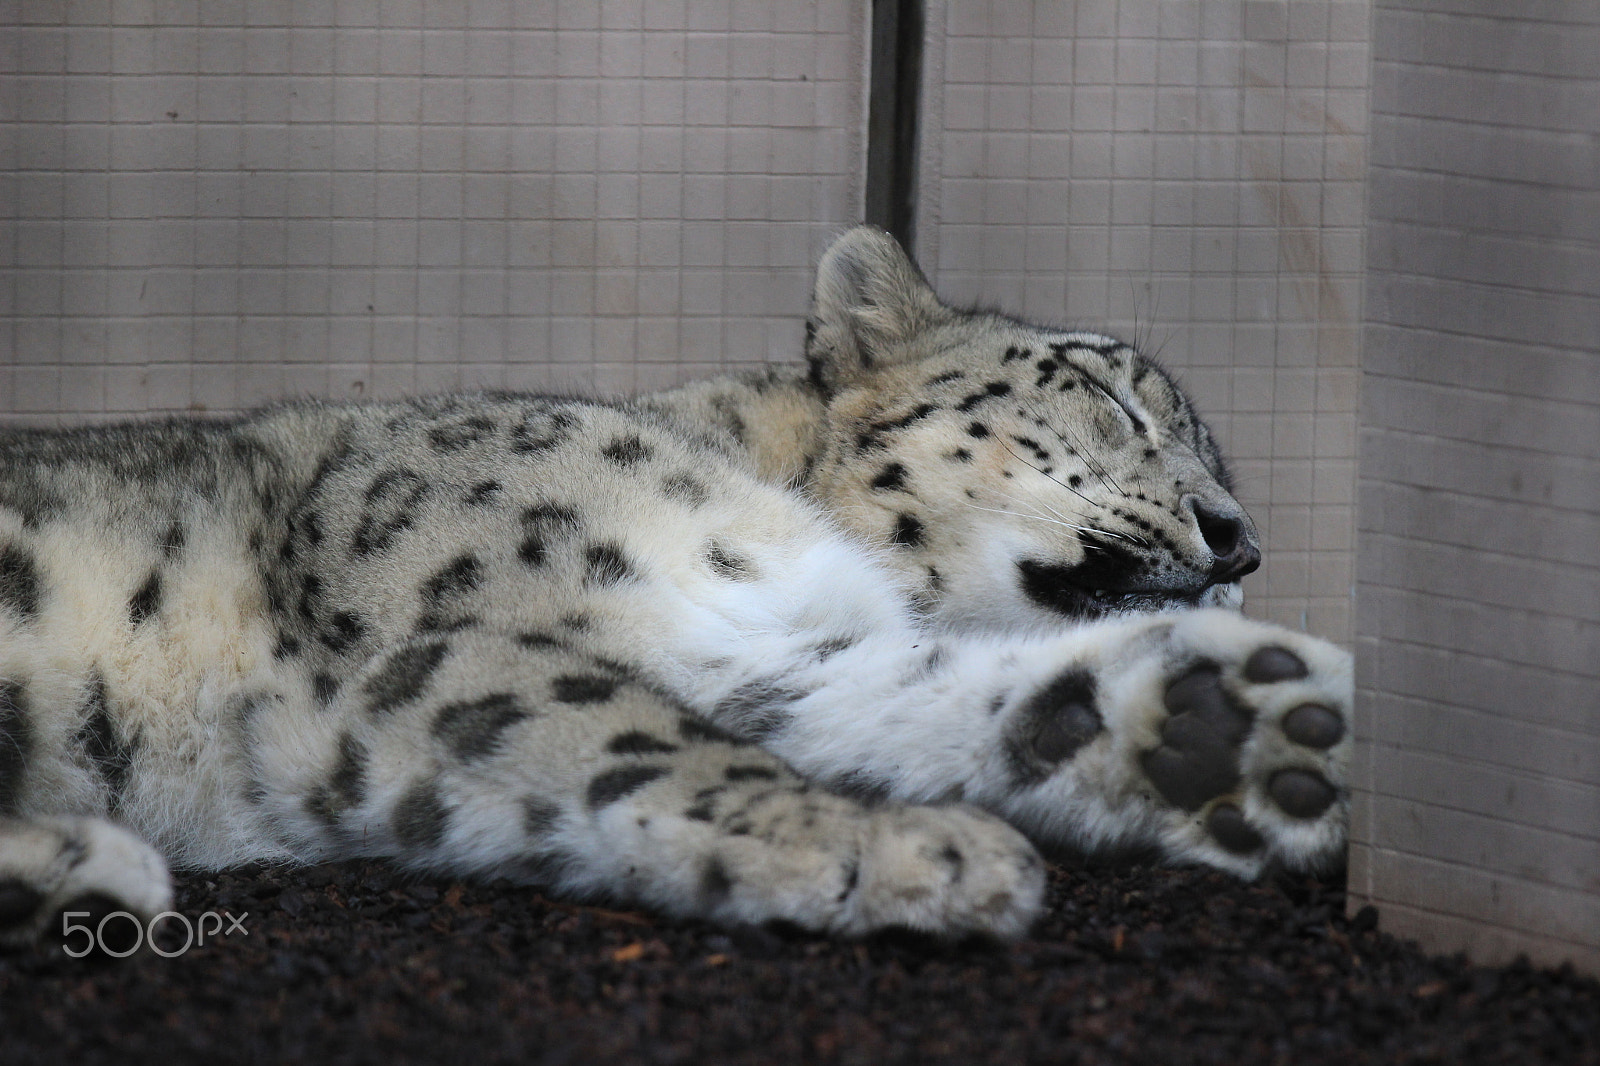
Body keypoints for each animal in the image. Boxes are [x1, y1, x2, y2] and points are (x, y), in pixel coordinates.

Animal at [0, 228, 1350, 941]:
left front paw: (1231, 727)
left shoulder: (751, 654)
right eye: (1111, 395)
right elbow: (658, 740)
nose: (1238, 541)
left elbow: (895, 697)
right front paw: (926, 853)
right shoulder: (460, 646)